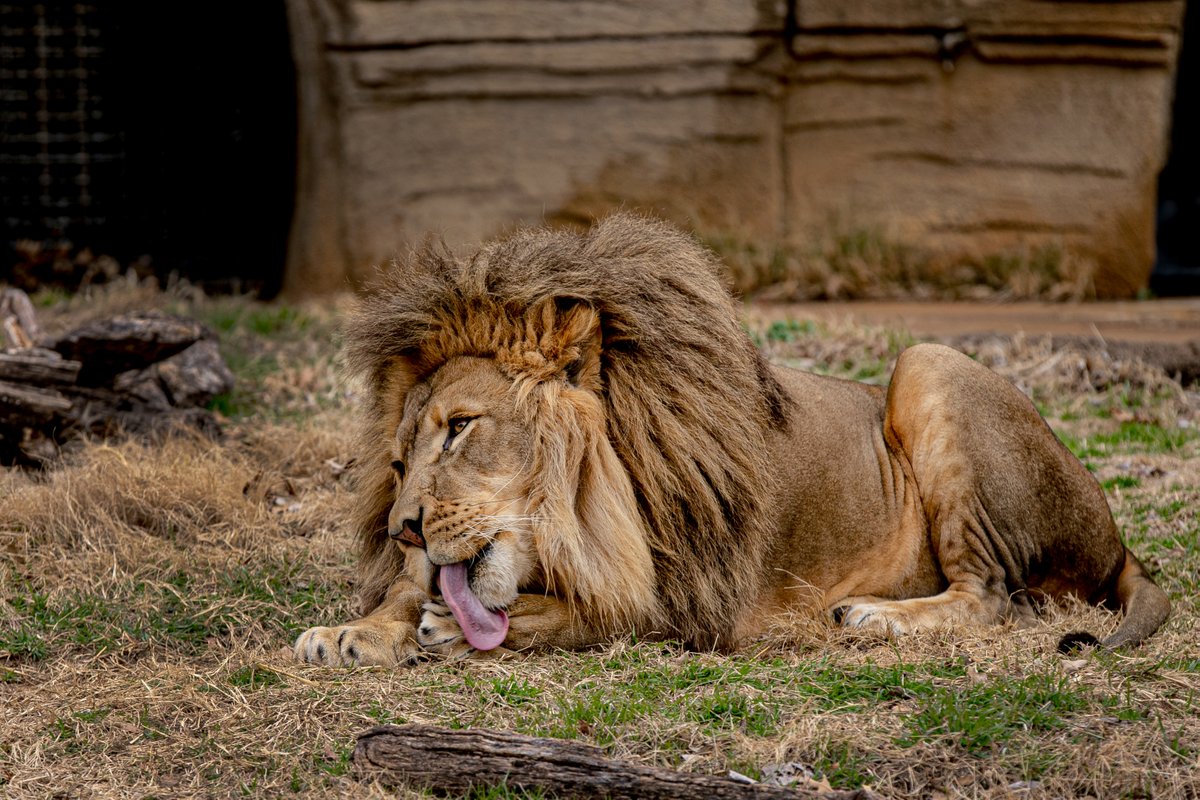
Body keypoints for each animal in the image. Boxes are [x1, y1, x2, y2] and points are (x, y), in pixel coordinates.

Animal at [294, 213, 1170, 666]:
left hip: (928, 363)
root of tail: (1117, 536)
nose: (403, 528)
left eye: (461, 428)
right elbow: (414, 595)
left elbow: (589, 615)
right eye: (398, 461)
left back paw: (874, 617)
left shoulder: (697, 598)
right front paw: (355, 630)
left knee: (992, 597)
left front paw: (461, 626)